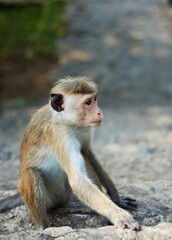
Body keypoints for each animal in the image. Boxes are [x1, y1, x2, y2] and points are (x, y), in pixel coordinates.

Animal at [0, 76, 140, 231]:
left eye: (95, 99)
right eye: (88, 102)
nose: (99, 111)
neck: (65, 120)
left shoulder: (84, 130)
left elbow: (88, 152)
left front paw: (117, 201)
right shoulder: (61, 136)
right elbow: (77, 180)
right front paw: (119, 216)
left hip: (63, 195)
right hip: (48, 199)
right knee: (31, 173)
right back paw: (42, 228)